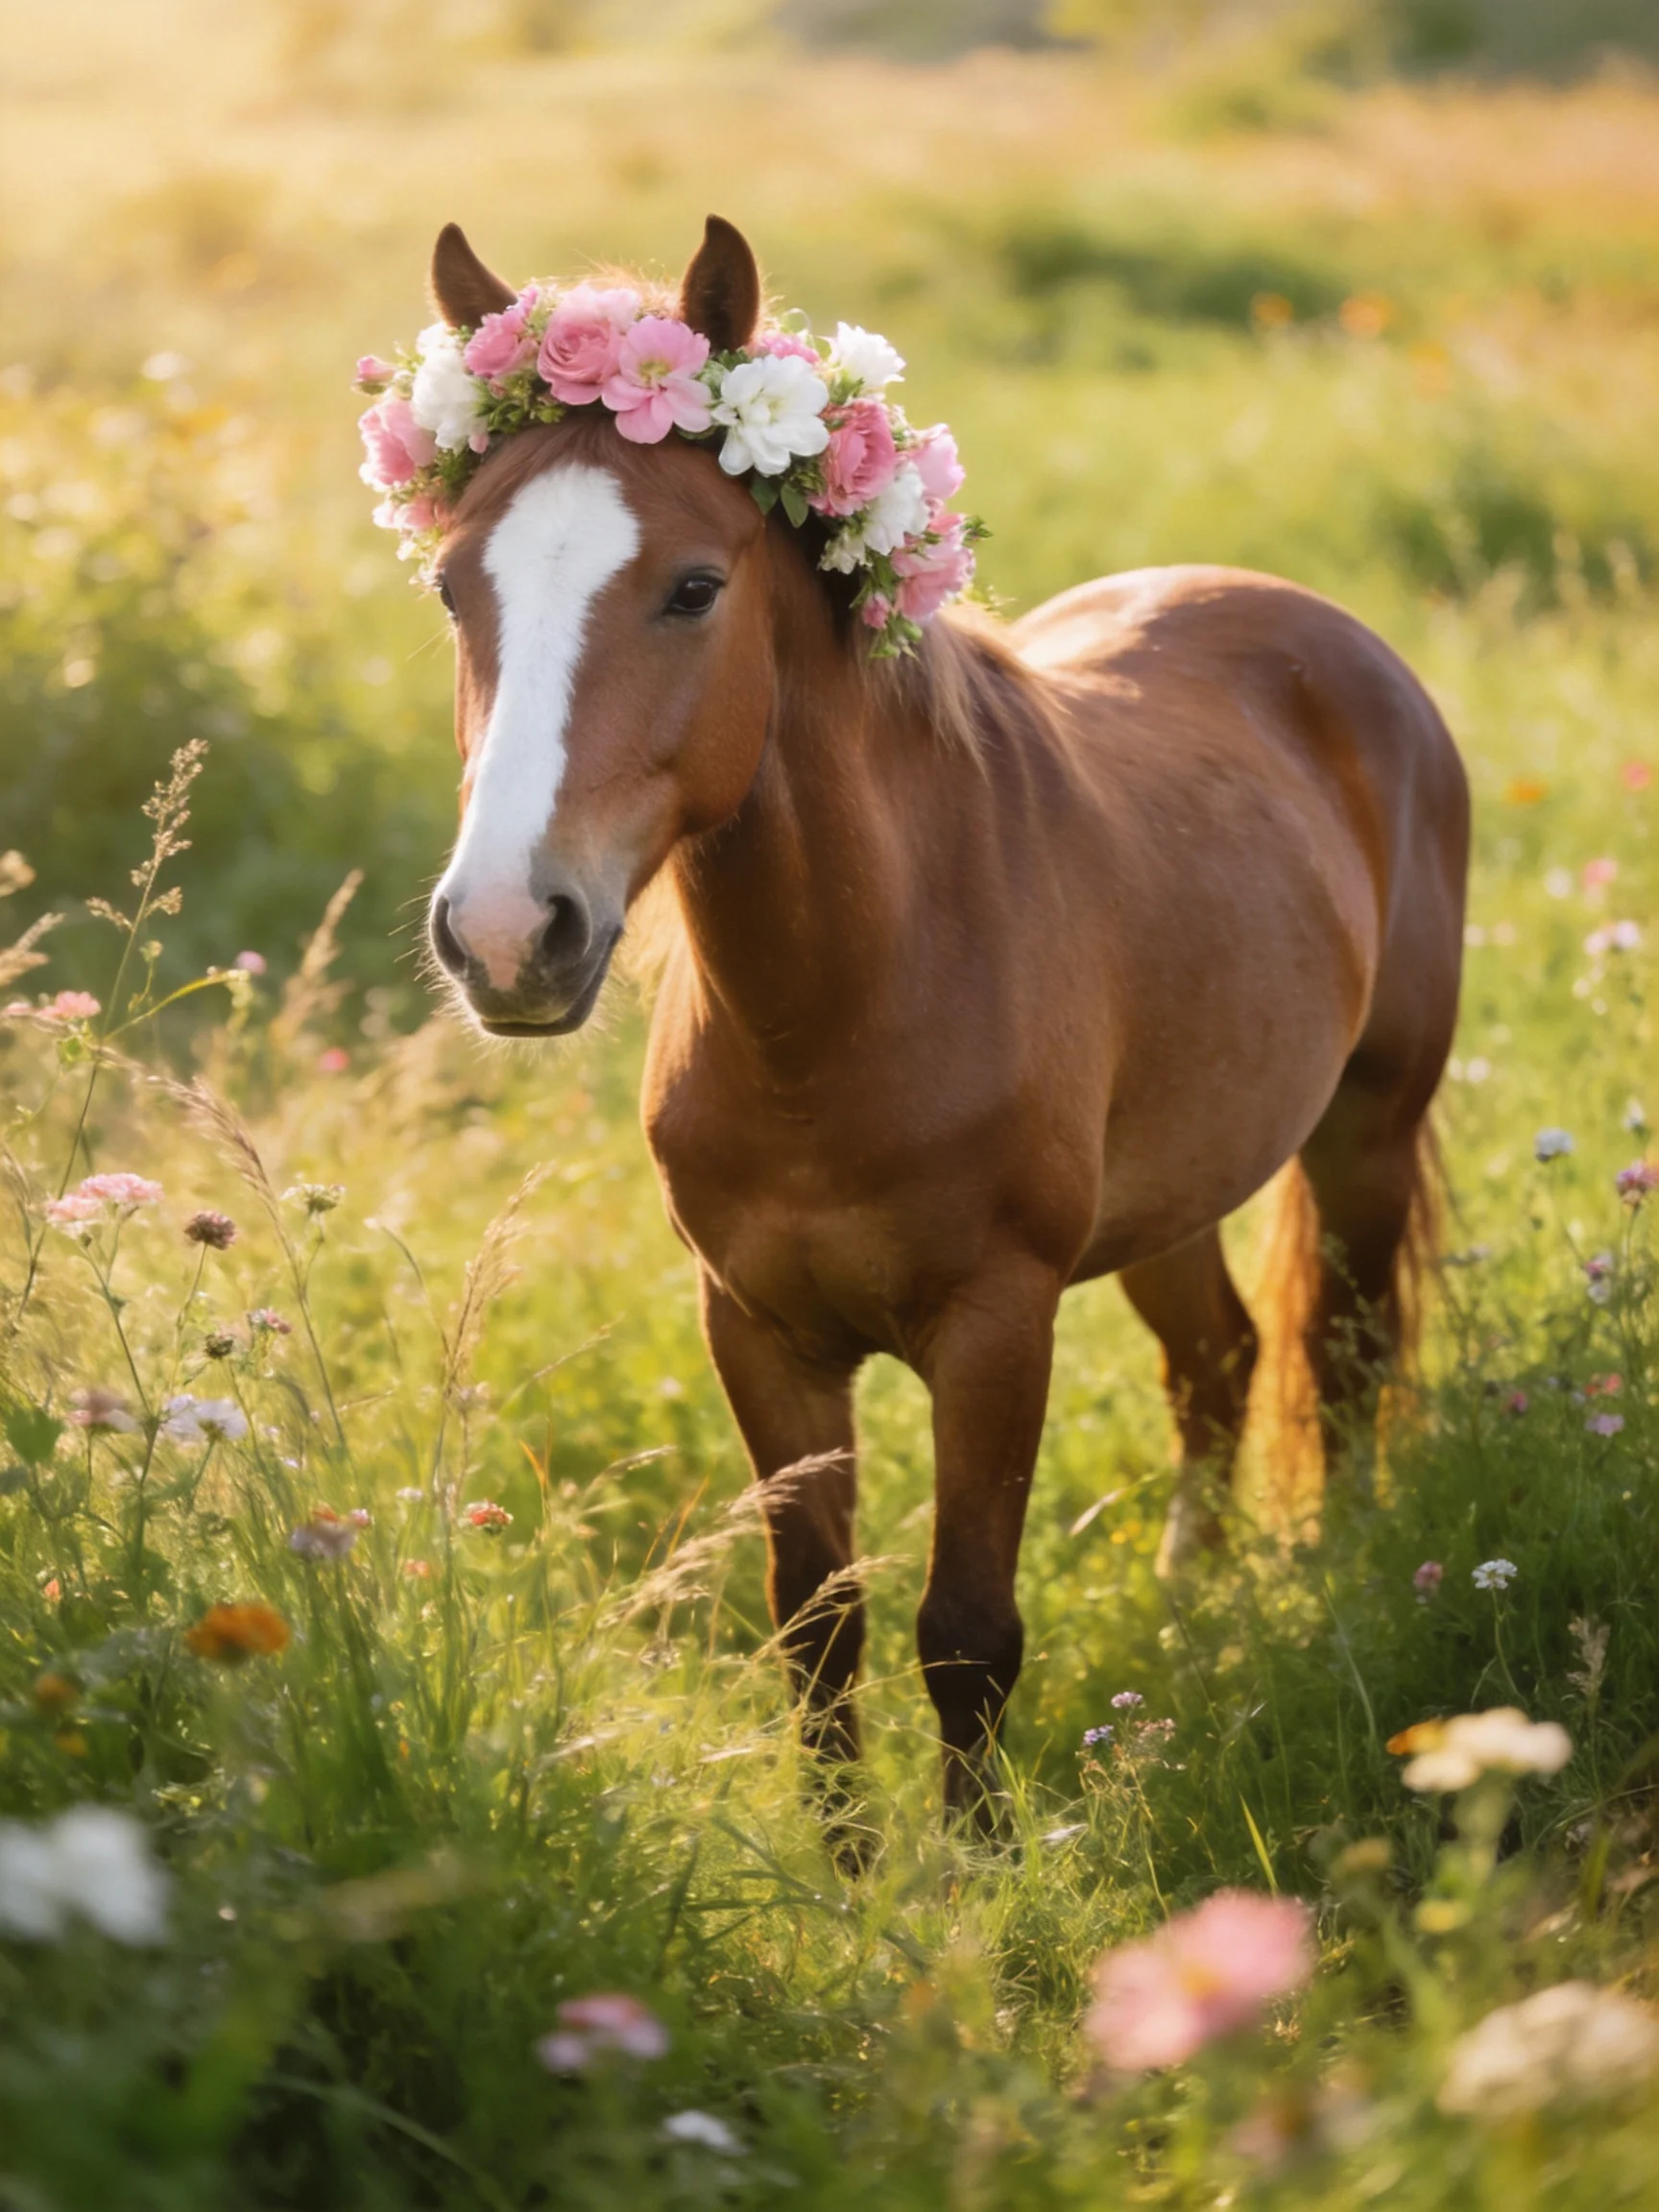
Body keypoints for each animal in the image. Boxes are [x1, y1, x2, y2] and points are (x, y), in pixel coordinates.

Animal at [416, 215, 1469, 1829]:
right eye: (453, 588)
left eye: (694, 588)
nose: (503, 933)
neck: (843, 1007)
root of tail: (1318, 629)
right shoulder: (760, 1332)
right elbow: (818, 1626)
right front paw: (844, 1867)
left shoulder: (995, 1328)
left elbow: (965, 1632)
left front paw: (970, 1875)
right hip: (1172, 1195)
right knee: (1220, 1363)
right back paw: (1194, 1600)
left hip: (1368, 1132)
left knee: (1340, 1367)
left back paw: (1342, 1588)